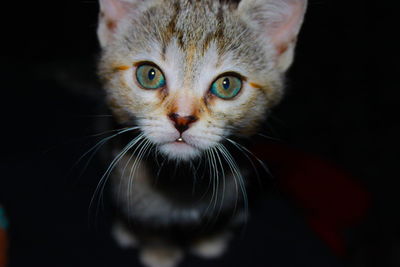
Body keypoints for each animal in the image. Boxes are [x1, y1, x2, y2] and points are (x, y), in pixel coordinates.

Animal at [96, 0, 306, 266]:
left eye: (227, 84)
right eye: (149, 75)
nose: (182, 118)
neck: (181, 181)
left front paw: (208, 238)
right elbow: (147, 217)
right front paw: (159, 250)